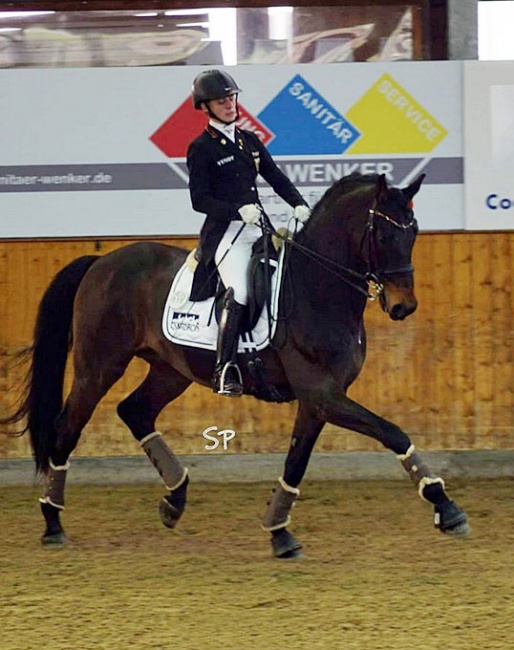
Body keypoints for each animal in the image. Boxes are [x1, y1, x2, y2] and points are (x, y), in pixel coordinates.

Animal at [1, 170, 468, 556]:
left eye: (414, 232)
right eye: (384, 235)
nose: (403, 306)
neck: (318, 289)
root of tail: (101, 261)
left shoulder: (318, 400)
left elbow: (296, 462)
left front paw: (279, 532)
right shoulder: (322, 394)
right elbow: (393, 432)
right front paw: (445, 506)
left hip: (171, 370)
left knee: (134, 410)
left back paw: (174, 500)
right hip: (98, 367)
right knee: (66, 428)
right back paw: (52, 522)